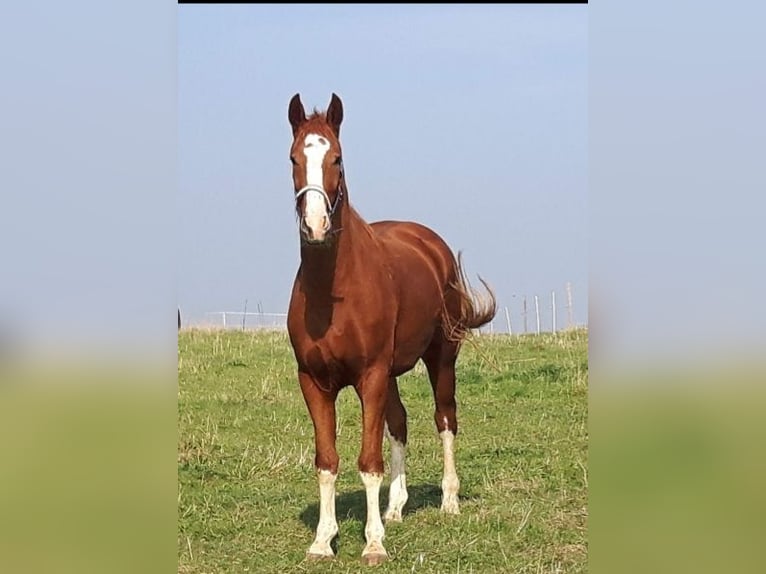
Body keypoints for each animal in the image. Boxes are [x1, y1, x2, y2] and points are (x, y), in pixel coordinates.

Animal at [288, 93, 498, 568]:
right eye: (293, 158)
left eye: (337, 158)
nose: (315, 227)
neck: (333, 294)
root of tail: (430, 243)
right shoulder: (315, 381)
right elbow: (327, 460)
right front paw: (323, 541)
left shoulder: (369, 376)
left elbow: (369, 460)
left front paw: (373, 544)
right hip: (391, 374)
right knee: (399, 423)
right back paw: (396, 507)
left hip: (440, 357)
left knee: (445, 418)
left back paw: (449, 501)